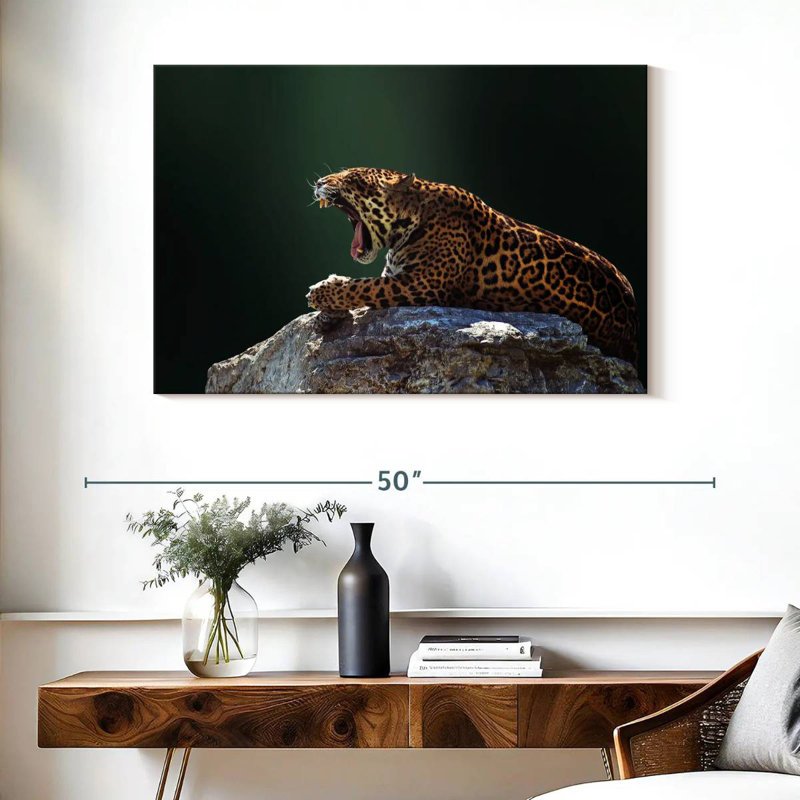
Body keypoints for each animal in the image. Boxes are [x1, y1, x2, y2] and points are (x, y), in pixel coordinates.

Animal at [307, 167, 639, 366]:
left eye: (351, 180)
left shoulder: (420, 285)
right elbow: (363, 287)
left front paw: (322, 293)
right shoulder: (397, 275)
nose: (320, 182)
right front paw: (326, 314)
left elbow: (365, 287)